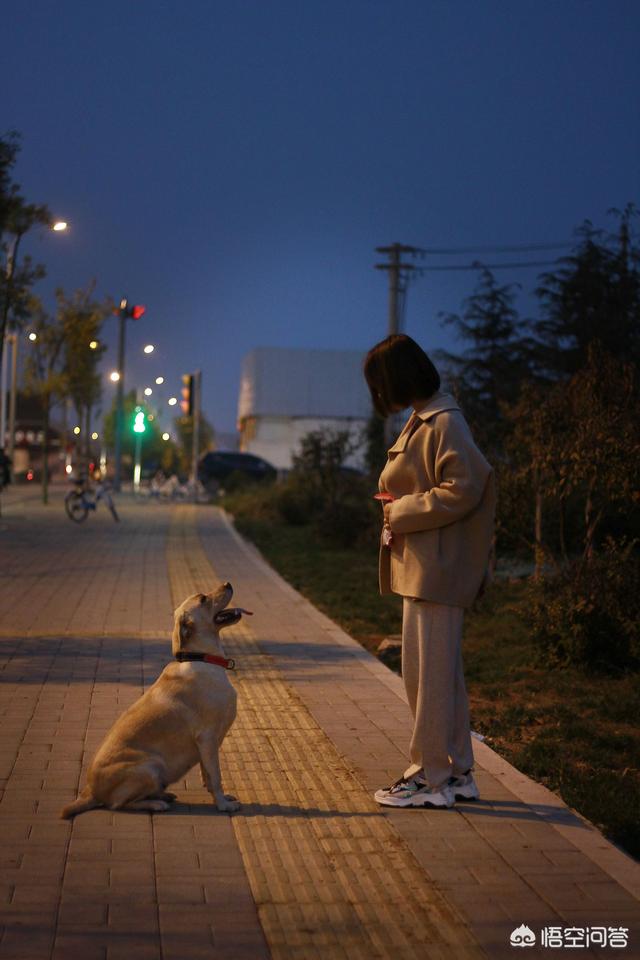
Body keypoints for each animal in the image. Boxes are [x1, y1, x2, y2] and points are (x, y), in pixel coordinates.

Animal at [60, 580, 246, 812]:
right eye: (203, 598)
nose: (228, 583)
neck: (201, 658)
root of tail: (91, 792)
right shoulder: (208, 738)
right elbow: (216, 776)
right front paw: (223, 804)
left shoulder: (206, 747)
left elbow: (207, 777)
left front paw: (220, 798)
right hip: (152, 766)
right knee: (118, 804)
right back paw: (157, 802)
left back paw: (163, 795)